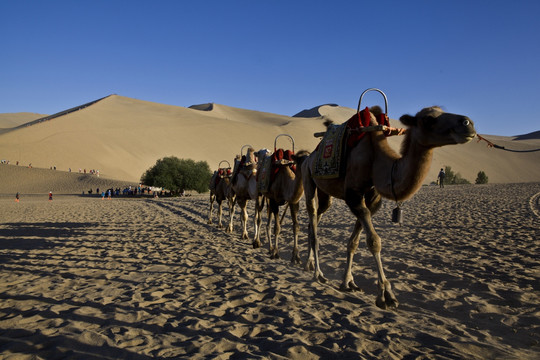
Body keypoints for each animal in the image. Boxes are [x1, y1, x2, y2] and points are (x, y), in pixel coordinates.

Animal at [304, 105, 476, 310]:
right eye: (428, 119)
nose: (467, 123)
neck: (377, 161)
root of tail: (310, 156)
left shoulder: (372, 199)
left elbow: (354, 242)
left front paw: (348, 282)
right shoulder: (353, 195)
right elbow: (374, 241)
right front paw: (386, 294)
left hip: (325, 193)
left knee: (316, 219)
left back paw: (308, 263)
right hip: (307, 175)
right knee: (313, 220)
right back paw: (317, 273)